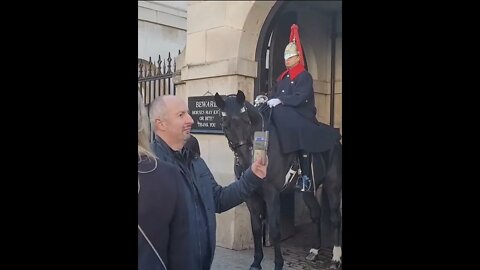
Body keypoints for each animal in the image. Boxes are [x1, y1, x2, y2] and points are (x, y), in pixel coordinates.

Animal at [214, 90, 342, 270]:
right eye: (225, 125)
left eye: (247, 121)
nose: (246, 162)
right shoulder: (251, 197)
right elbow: (256, 227)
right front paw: (256, 262)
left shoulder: (272, 193)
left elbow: (275, 230)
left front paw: (278, 264)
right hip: (308, 191)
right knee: (316, 213)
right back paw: (315, 250)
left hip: (333, 186)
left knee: (335, 218)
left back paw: (336, 258)